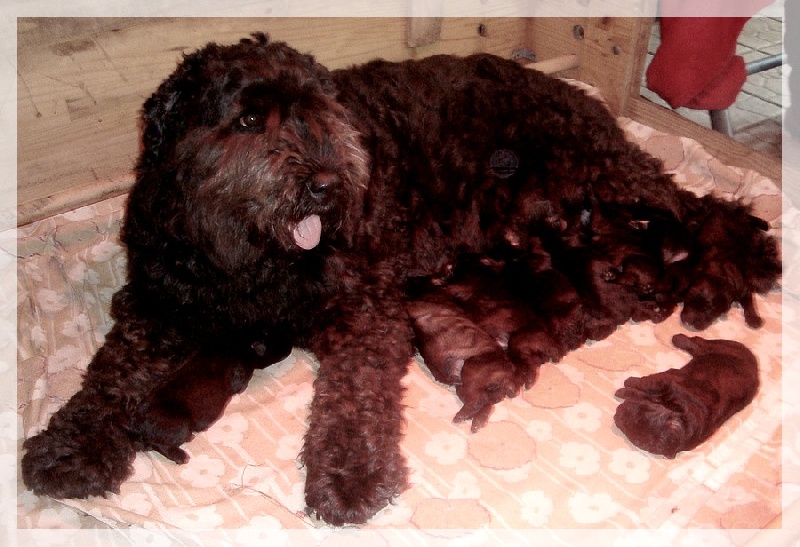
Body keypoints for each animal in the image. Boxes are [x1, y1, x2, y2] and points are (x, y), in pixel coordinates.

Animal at [612, 334, 756, 458]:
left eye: (634, 438)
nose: (617, 413)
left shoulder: (666, 381)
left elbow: (643, 386)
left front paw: (624, 388)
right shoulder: (666, 382)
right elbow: (646, 384)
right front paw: (626, 386)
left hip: (715, 350)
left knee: (699, 344)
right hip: (718, 349)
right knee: (698, 341)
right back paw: (678, 338)